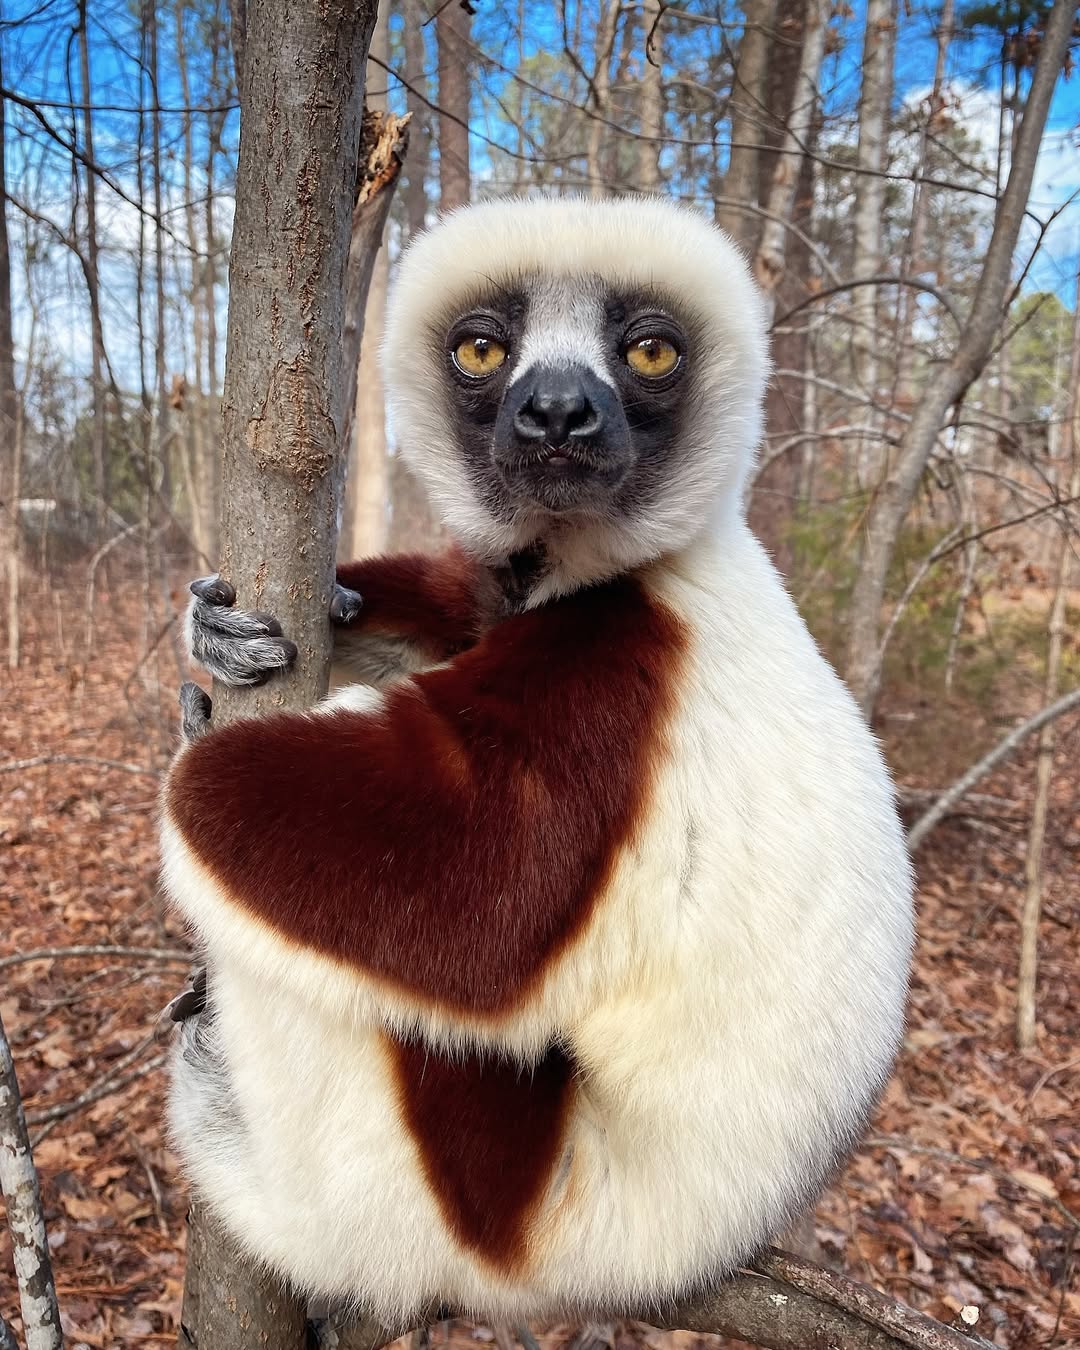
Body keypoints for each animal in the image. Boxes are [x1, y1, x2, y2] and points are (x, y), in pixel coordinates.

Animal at [161, 196, 913, 1325]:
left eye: (649, 351)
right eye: (484, 349)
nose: (558, 414)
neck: (639, 564)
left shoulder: (619, 670)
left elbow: (471, 896)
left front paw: (203, 749)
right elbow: (468, 606)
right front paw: (270, 623)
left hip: (484, 1193)